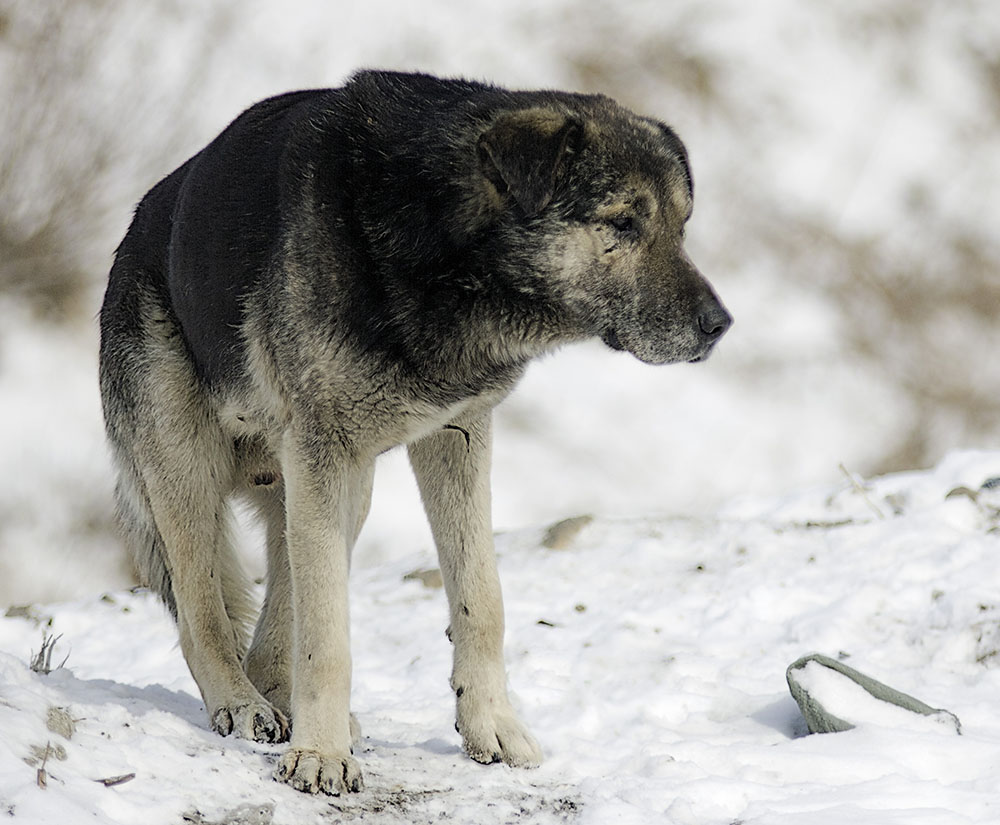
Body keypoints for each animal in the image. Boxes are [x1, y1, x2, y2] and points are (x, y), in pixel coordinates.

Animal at [97, 69, 732, 792]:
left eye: (681, 227)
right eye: (623, 222)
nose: (719, 325)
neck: (438, 238)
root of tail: (131, 234)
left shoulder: (455, 435)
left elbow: (481, 597)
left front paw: (489, 725)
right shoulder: (325, 449)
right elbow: (327, 636)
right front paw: (319, 757)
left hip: (344, 486)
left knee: (279, 612)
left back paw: (288, 701)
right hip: (192, 473)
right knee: (203, 617)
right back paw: (244, 704)